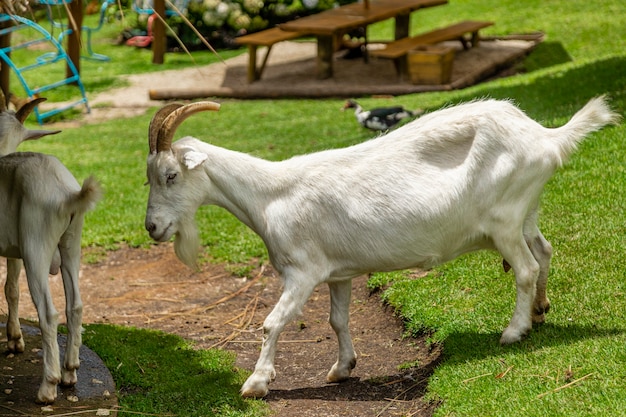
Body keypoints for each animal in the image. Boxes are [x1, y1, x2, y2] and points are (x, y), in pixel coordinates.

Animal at [0, 96, 101, 402]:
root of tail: (66, 194)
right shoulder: (13, 249)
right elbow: (11, 288)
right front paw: (14, 339)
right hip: (71, 242)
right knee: (75, 306)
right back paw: (69, 372)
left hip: (37, 245)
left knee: (48, 313)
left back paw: (48, 386)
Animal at [144, 95, 616, 396]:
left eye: (170, 175)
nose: (152, 227)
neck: (270, 195)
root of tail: (546, 137)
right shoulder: (338, 273)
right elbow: (337, 320)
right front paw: (341, 369)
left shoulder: (302, 272)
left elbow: (272, 323)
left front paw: (256, 384)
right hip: (525, 213)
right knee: (544, 251)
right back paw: (539, 311)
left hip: (503, 219)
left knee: (526, 268)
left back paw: (514, 331)